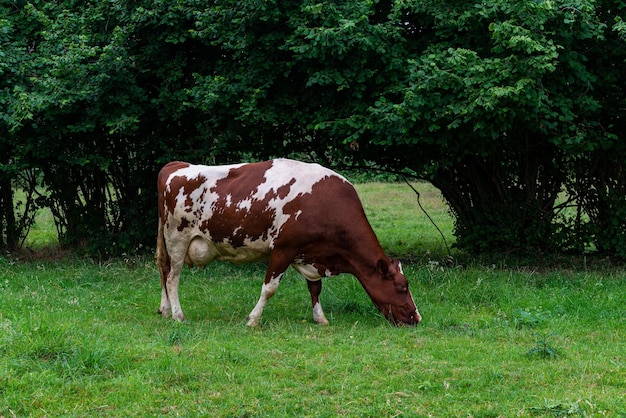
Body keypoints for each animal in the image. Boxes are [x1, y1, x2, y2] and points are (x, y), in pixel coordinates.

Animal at [154, 159, 422, 326]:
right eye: (403, 287)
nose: (416, 318)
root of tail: (176, 165)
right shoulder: (284, 249)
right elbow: (269, 288)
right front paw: (253, 320)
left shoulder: (310, 254)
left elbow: (315, 288)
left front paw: (320, 318)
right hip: (177, 238)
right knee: (172, 277)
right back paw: (178, 315)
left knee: (163, 271)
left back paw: (165, 310)